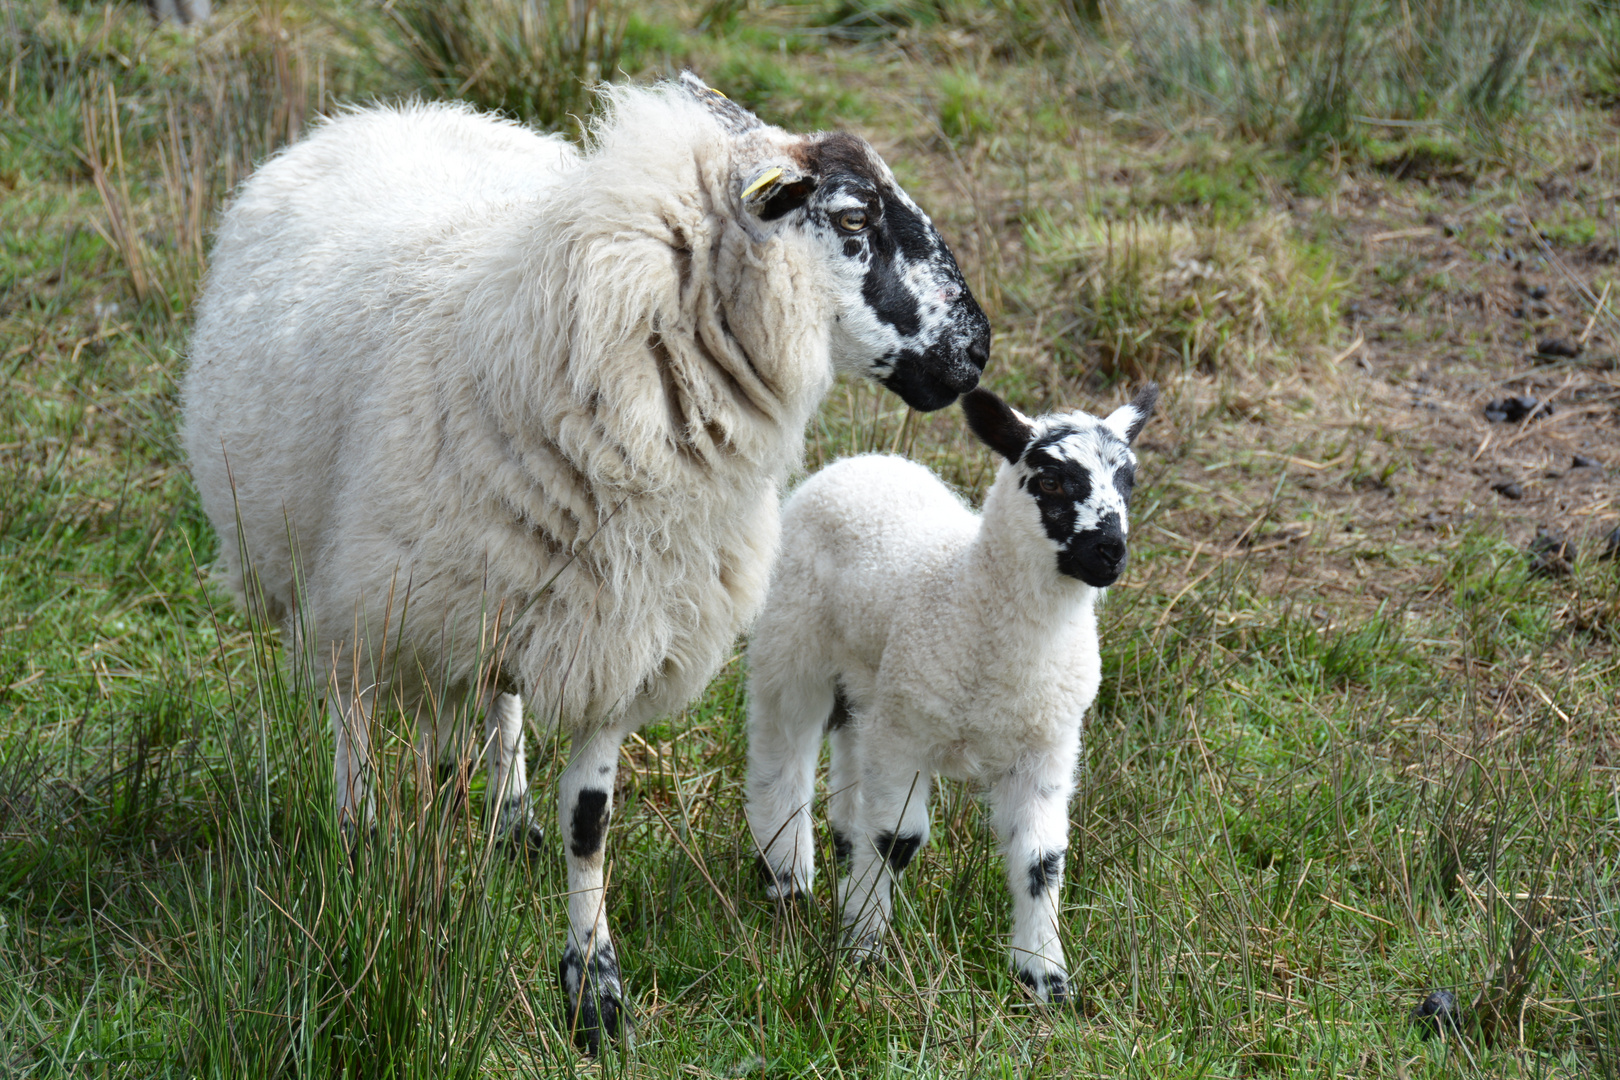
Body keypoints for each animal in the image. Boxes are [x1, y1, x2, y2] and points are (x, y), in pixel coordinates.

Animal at [183, 76, 991, 1055]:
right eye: (853, 217)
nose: (977, 350)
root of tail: (387, 112)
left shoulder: (623, 627)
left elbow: (588, 819)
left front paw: (593, 988)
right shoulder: (427, 612)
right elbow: (422, 766)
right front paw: (413, 906)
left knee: (497, 703)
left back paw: (511, 819)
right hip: (350, 584)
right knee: (353, 707)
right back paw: (361, 833)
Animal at [741, 382, 1159, 1003]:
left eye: (1129, 480)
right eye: (1051, 481)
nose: (1110, 552)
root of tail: (864, 461)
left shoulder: (1047, 747)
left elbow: (1042, 860)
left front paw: (1045, 978)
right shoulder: (908, 736)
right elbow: (897, 839)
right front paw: (862, 948)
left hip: (874, 682)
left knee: (851, 751)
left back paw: (842, 848)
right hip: (794, 644)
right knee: (781, 752)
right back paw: (788, 877)